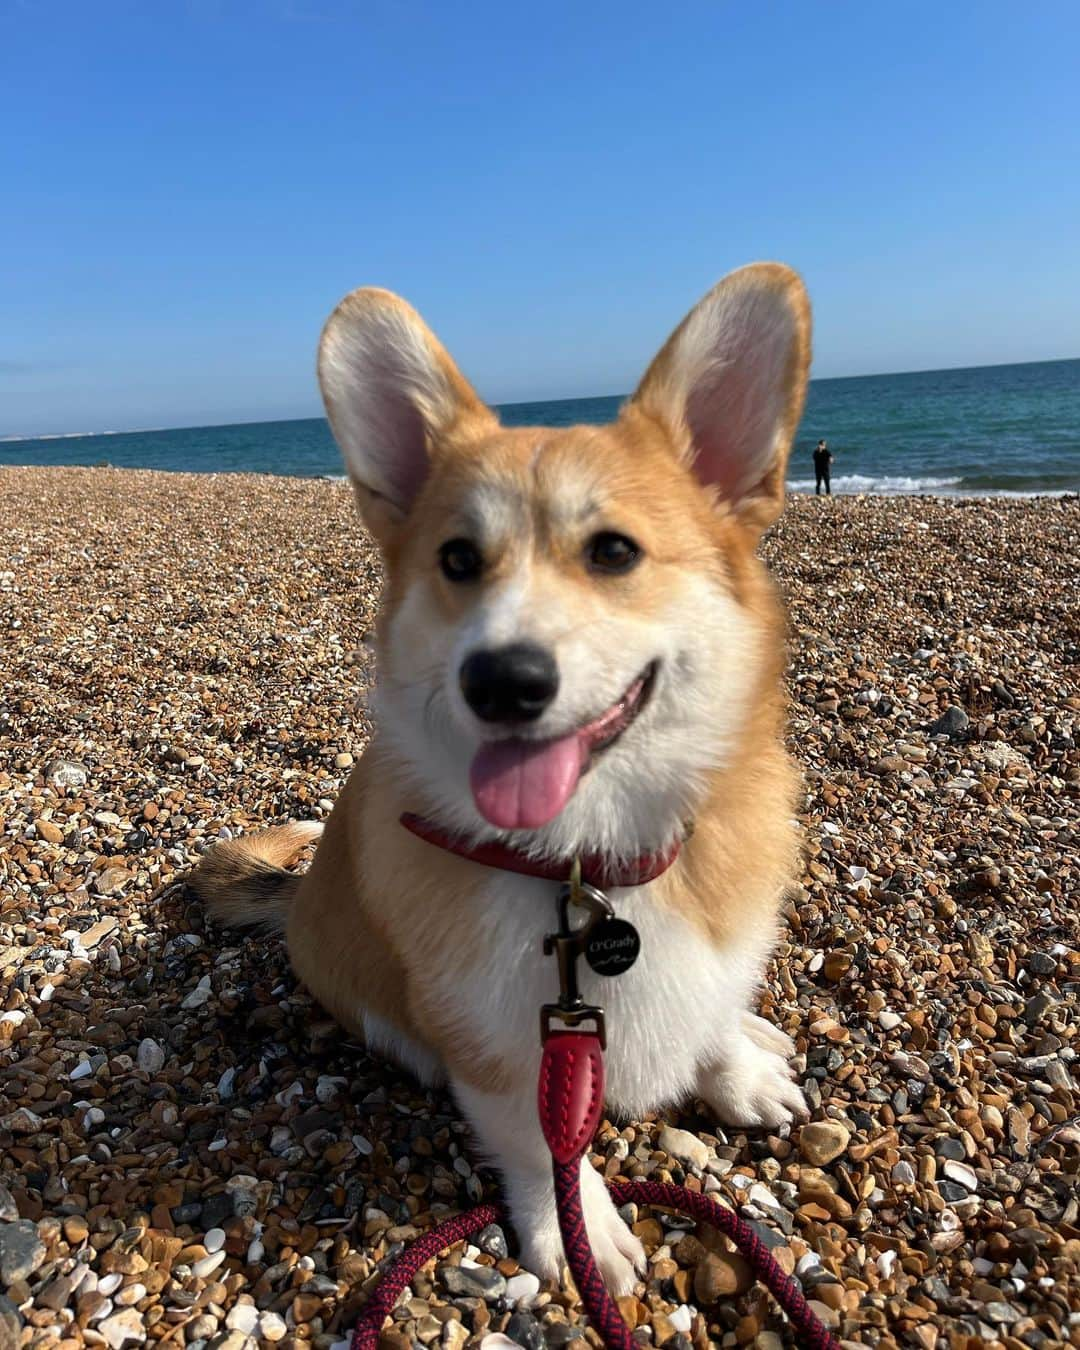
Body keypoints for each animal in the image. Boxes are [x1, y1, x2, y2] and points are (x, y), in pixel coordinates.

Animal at [190, 260, 810, 1285]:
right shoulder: (494, 1040)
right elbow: (535, 1138)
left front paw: (737, 1067)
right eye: (457, 559)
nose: (501, 680)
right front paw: (577, 1223)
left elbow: (712, 1013)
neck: (584, 860)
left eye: (614, 551)